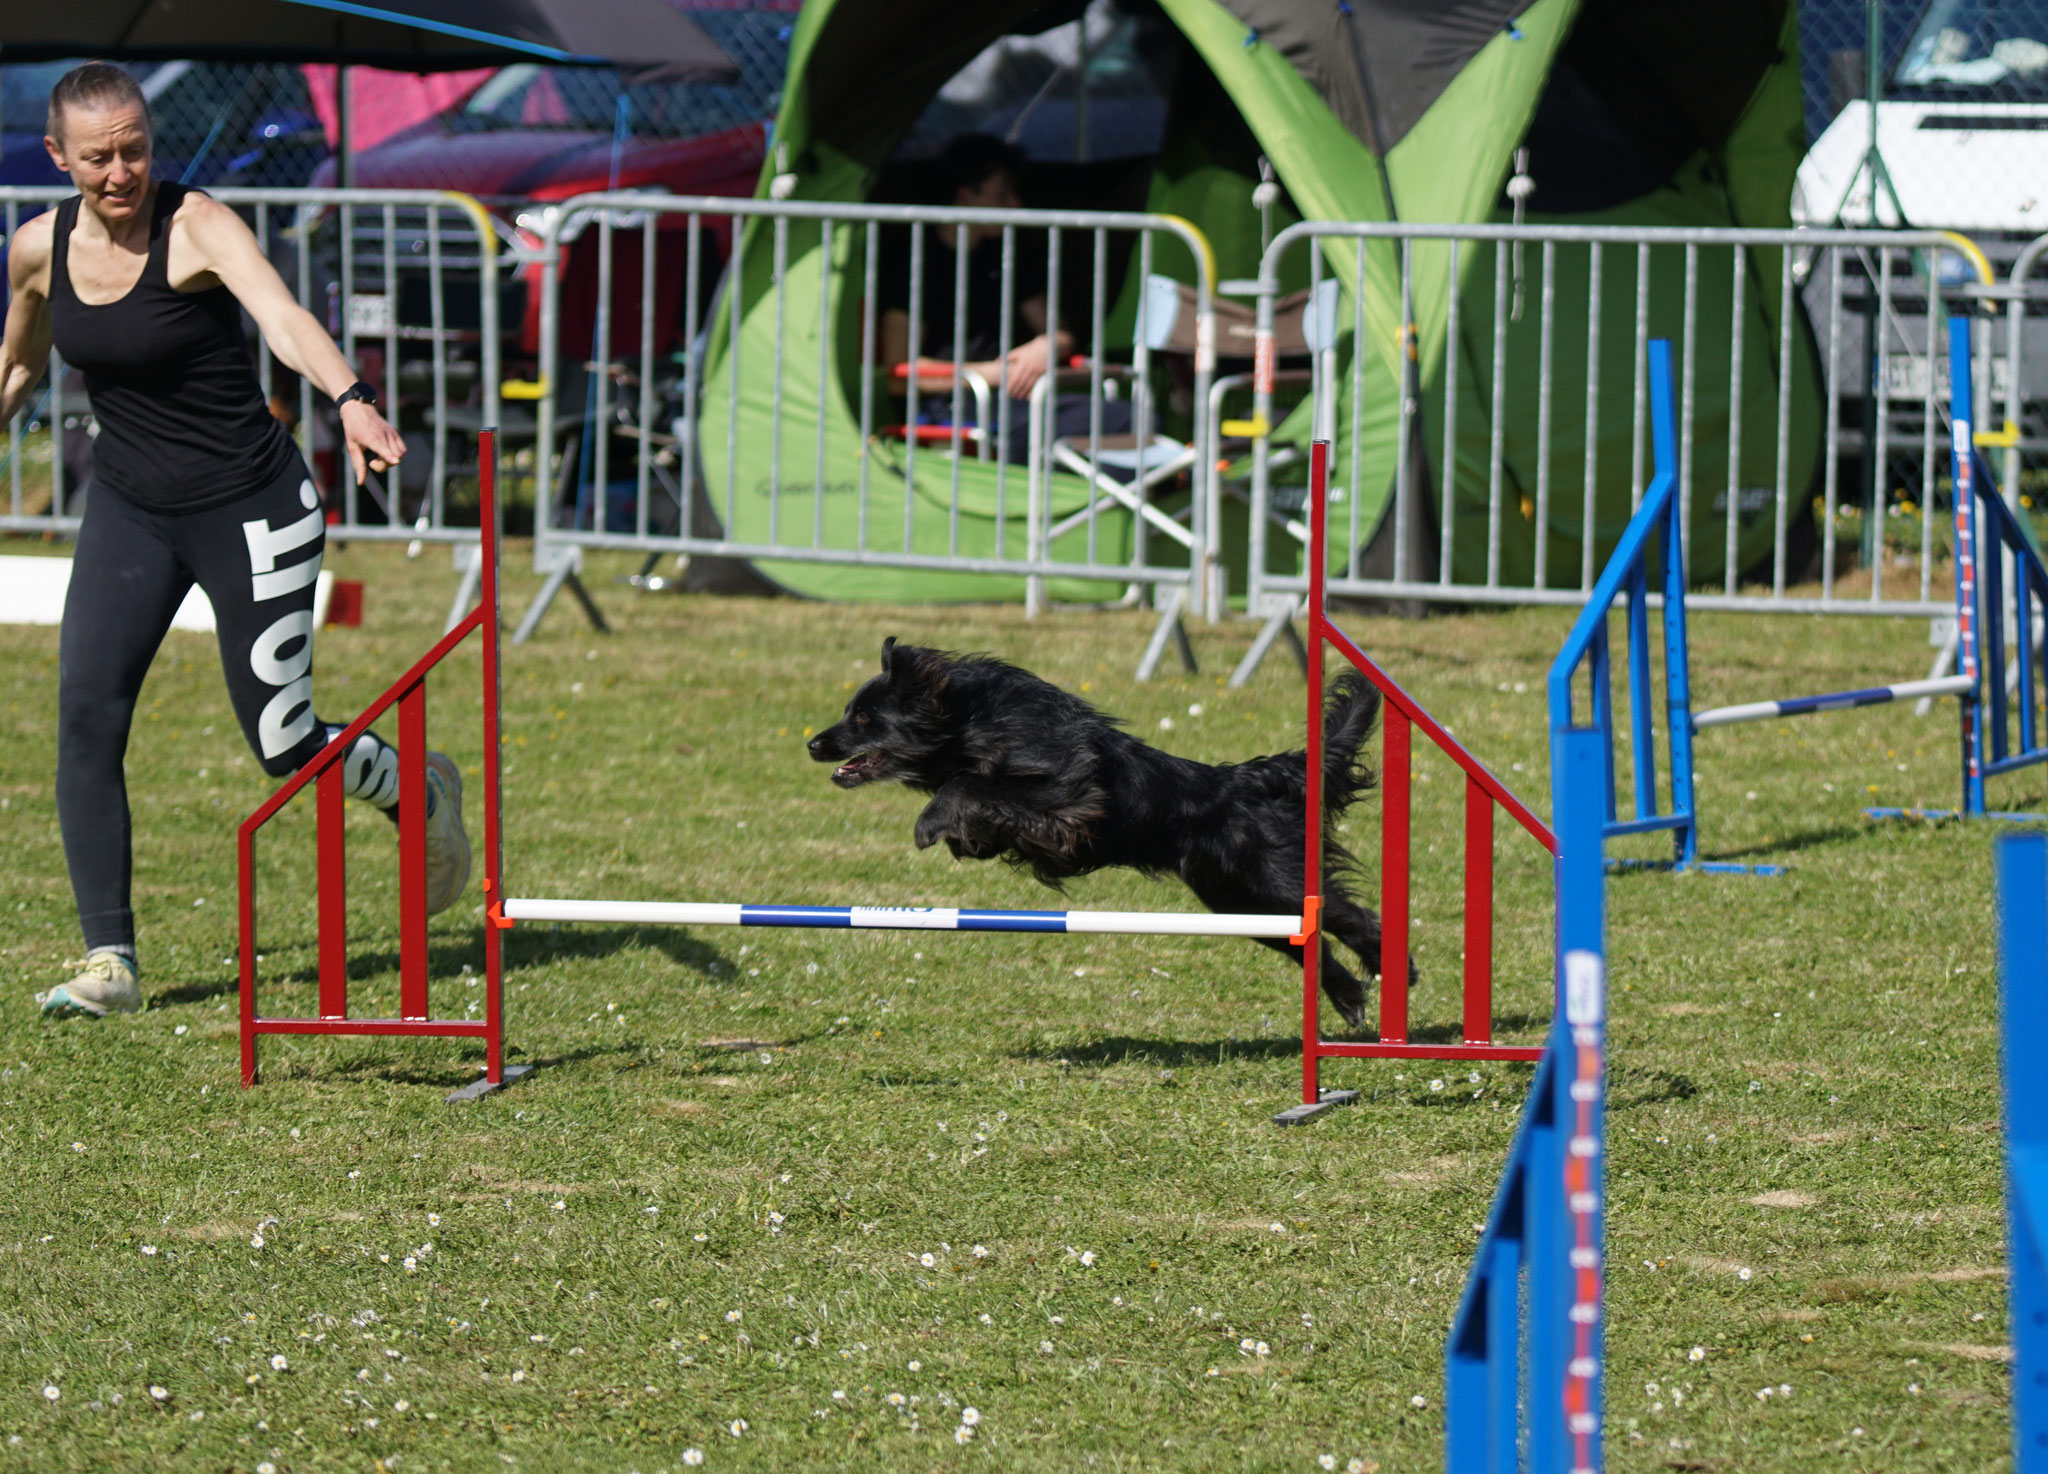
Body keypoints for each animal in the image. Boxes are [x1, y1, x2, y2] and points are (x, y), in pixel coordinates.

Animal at [802, 638, 1409, 1031]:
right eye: (850, 712)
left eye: (864, 719)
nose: (812, 744)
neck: (969, 721)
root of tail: (1243, 779)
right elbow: (975, 797)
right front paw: (967, 838)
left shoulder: (1070, 799)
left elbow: (967, 784)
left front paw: (932, 823)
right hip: (1238, 903)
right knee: (1310, 943)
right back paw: (1350, 996)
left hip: (1277, 880)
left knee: (1348, 915)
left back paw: (1395, 969)